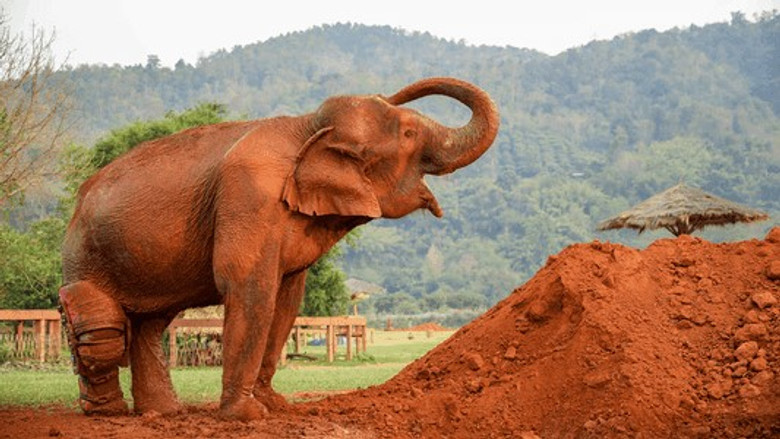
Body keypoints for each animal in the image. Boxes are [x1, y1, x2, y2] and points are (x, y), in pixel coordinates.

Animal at [59, 77, 499, 421]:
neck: (305, 125)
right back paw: (107, 413)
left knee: (150, 324)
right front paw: (246, 415)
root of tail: (78, 201)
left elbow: (287, 297)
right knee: (101, 330)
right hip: (83, 256)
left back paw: (163, 413)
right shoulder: (249, 195)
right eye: (408, 134)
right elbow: (248, 286)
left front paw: (276, 406)